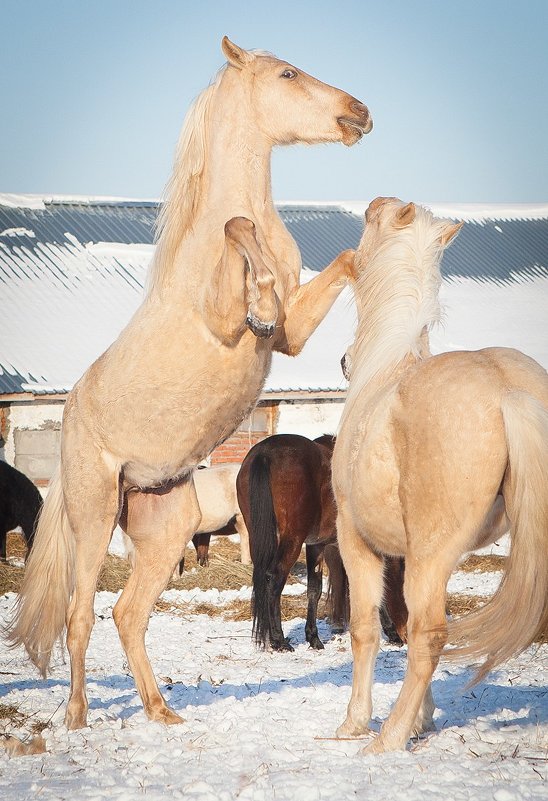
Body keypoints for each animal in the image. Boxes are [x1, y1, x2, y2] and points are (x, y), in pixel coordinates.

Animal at [4, 39, 370, 732]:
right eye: (286, 74)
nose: (358, 113)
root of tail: (71, 424)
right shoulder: (225, 324)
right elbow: (237, 229)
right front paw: (257, 293)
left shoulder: (291, 336)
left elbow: (345, 262)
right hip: (93, 520)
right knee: (78, 617)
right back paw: (76, 717)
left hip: (164, 529)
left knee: (128, 614)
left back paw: (160, 710)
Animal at [334, 197, 548, 752]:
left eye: (369, 223)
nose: (343, 361)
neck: (386, 365)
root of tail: (505, 388)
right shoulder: (413, 555)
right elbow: (405, 627)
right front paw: (424, 720)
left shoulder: (357, 540)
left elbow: (368, 630)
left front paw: (356, 722)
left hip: (430, 554)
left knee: (431, 635)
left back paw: (386, 738)